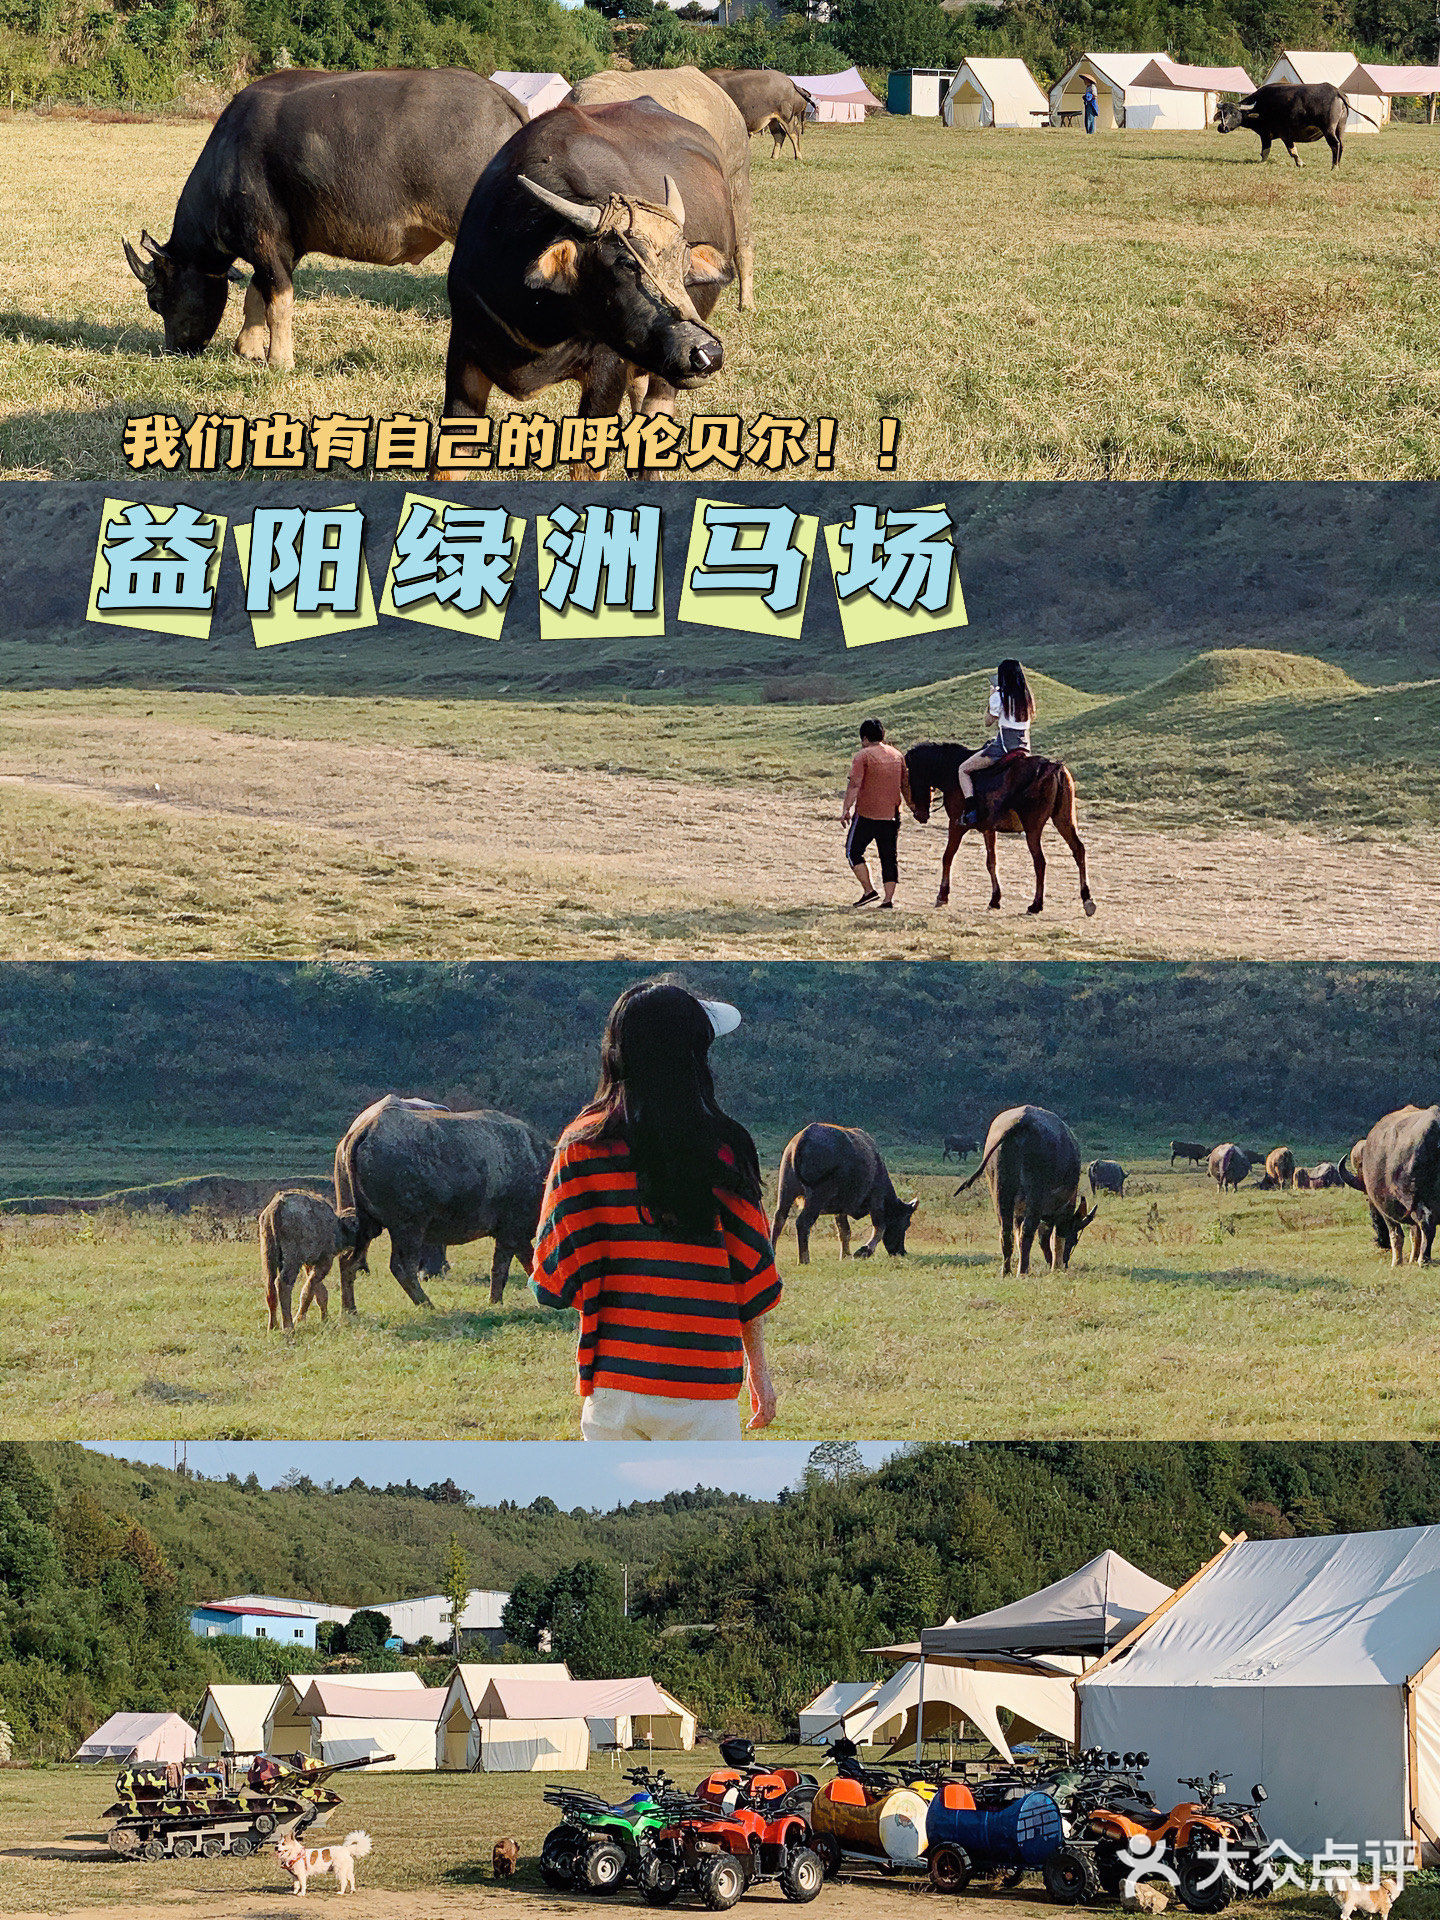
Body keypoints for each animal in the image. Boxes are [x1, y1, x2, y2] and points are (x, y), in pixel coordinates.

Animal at [901, 741, 1095, 917]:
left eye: (910, 780)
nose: (919, 815)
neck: (952, 771)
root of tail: (1052, 766)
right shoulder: (989, 829)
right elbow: (991, 862)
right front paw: (995, 899)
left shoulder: (955, 825)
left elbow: (947, 857)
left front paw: (942, 895)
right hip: (1064, 821)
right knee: (1078, 850)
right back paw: (1087, 899)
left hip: (1032, 829)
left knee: (1040, 862)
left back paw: (1036, 904)